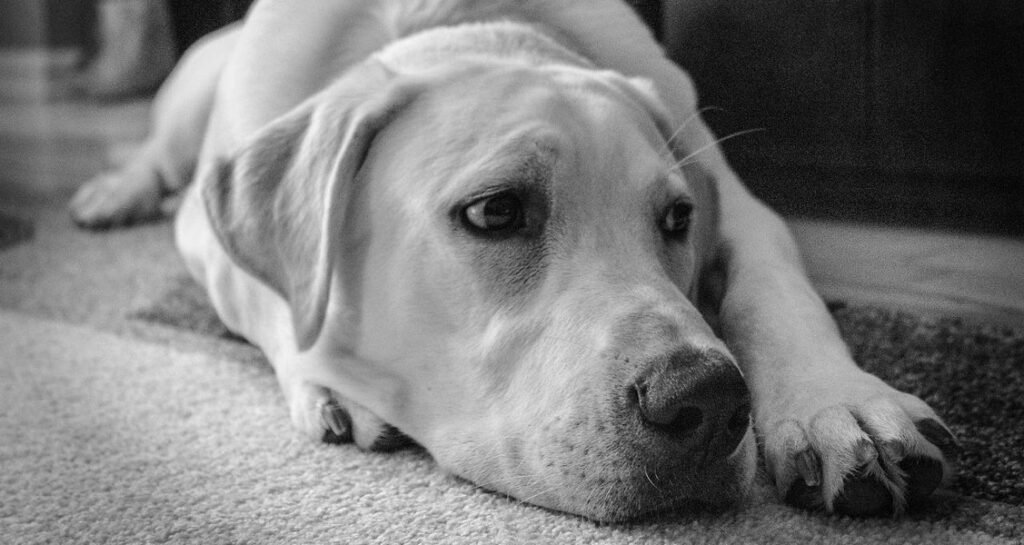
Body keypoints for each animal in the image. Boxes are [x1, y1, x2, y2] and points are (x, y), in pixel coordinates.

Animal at [68, 0, 954, 520]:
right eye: (495, 212)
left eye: (678, 219)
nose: (707, 400)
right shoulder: (205, 234)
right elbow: (281, 302)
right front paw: (333, 381)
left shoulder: (744, 208)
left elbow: (774, 292)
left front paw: (840, 404)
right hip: (190, 87)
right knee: (155, 150)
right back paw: (112, 190)